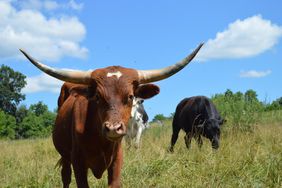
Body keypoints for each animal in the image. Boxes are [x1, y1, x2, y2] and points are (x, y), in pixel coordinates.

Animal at [19, 43, 203, 187]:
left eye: (130, 96)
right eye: (98, 97)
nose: (113, 128)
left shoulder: (116, 160)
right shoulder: (78, 162)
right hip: (64, 156)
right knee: (65, 177)